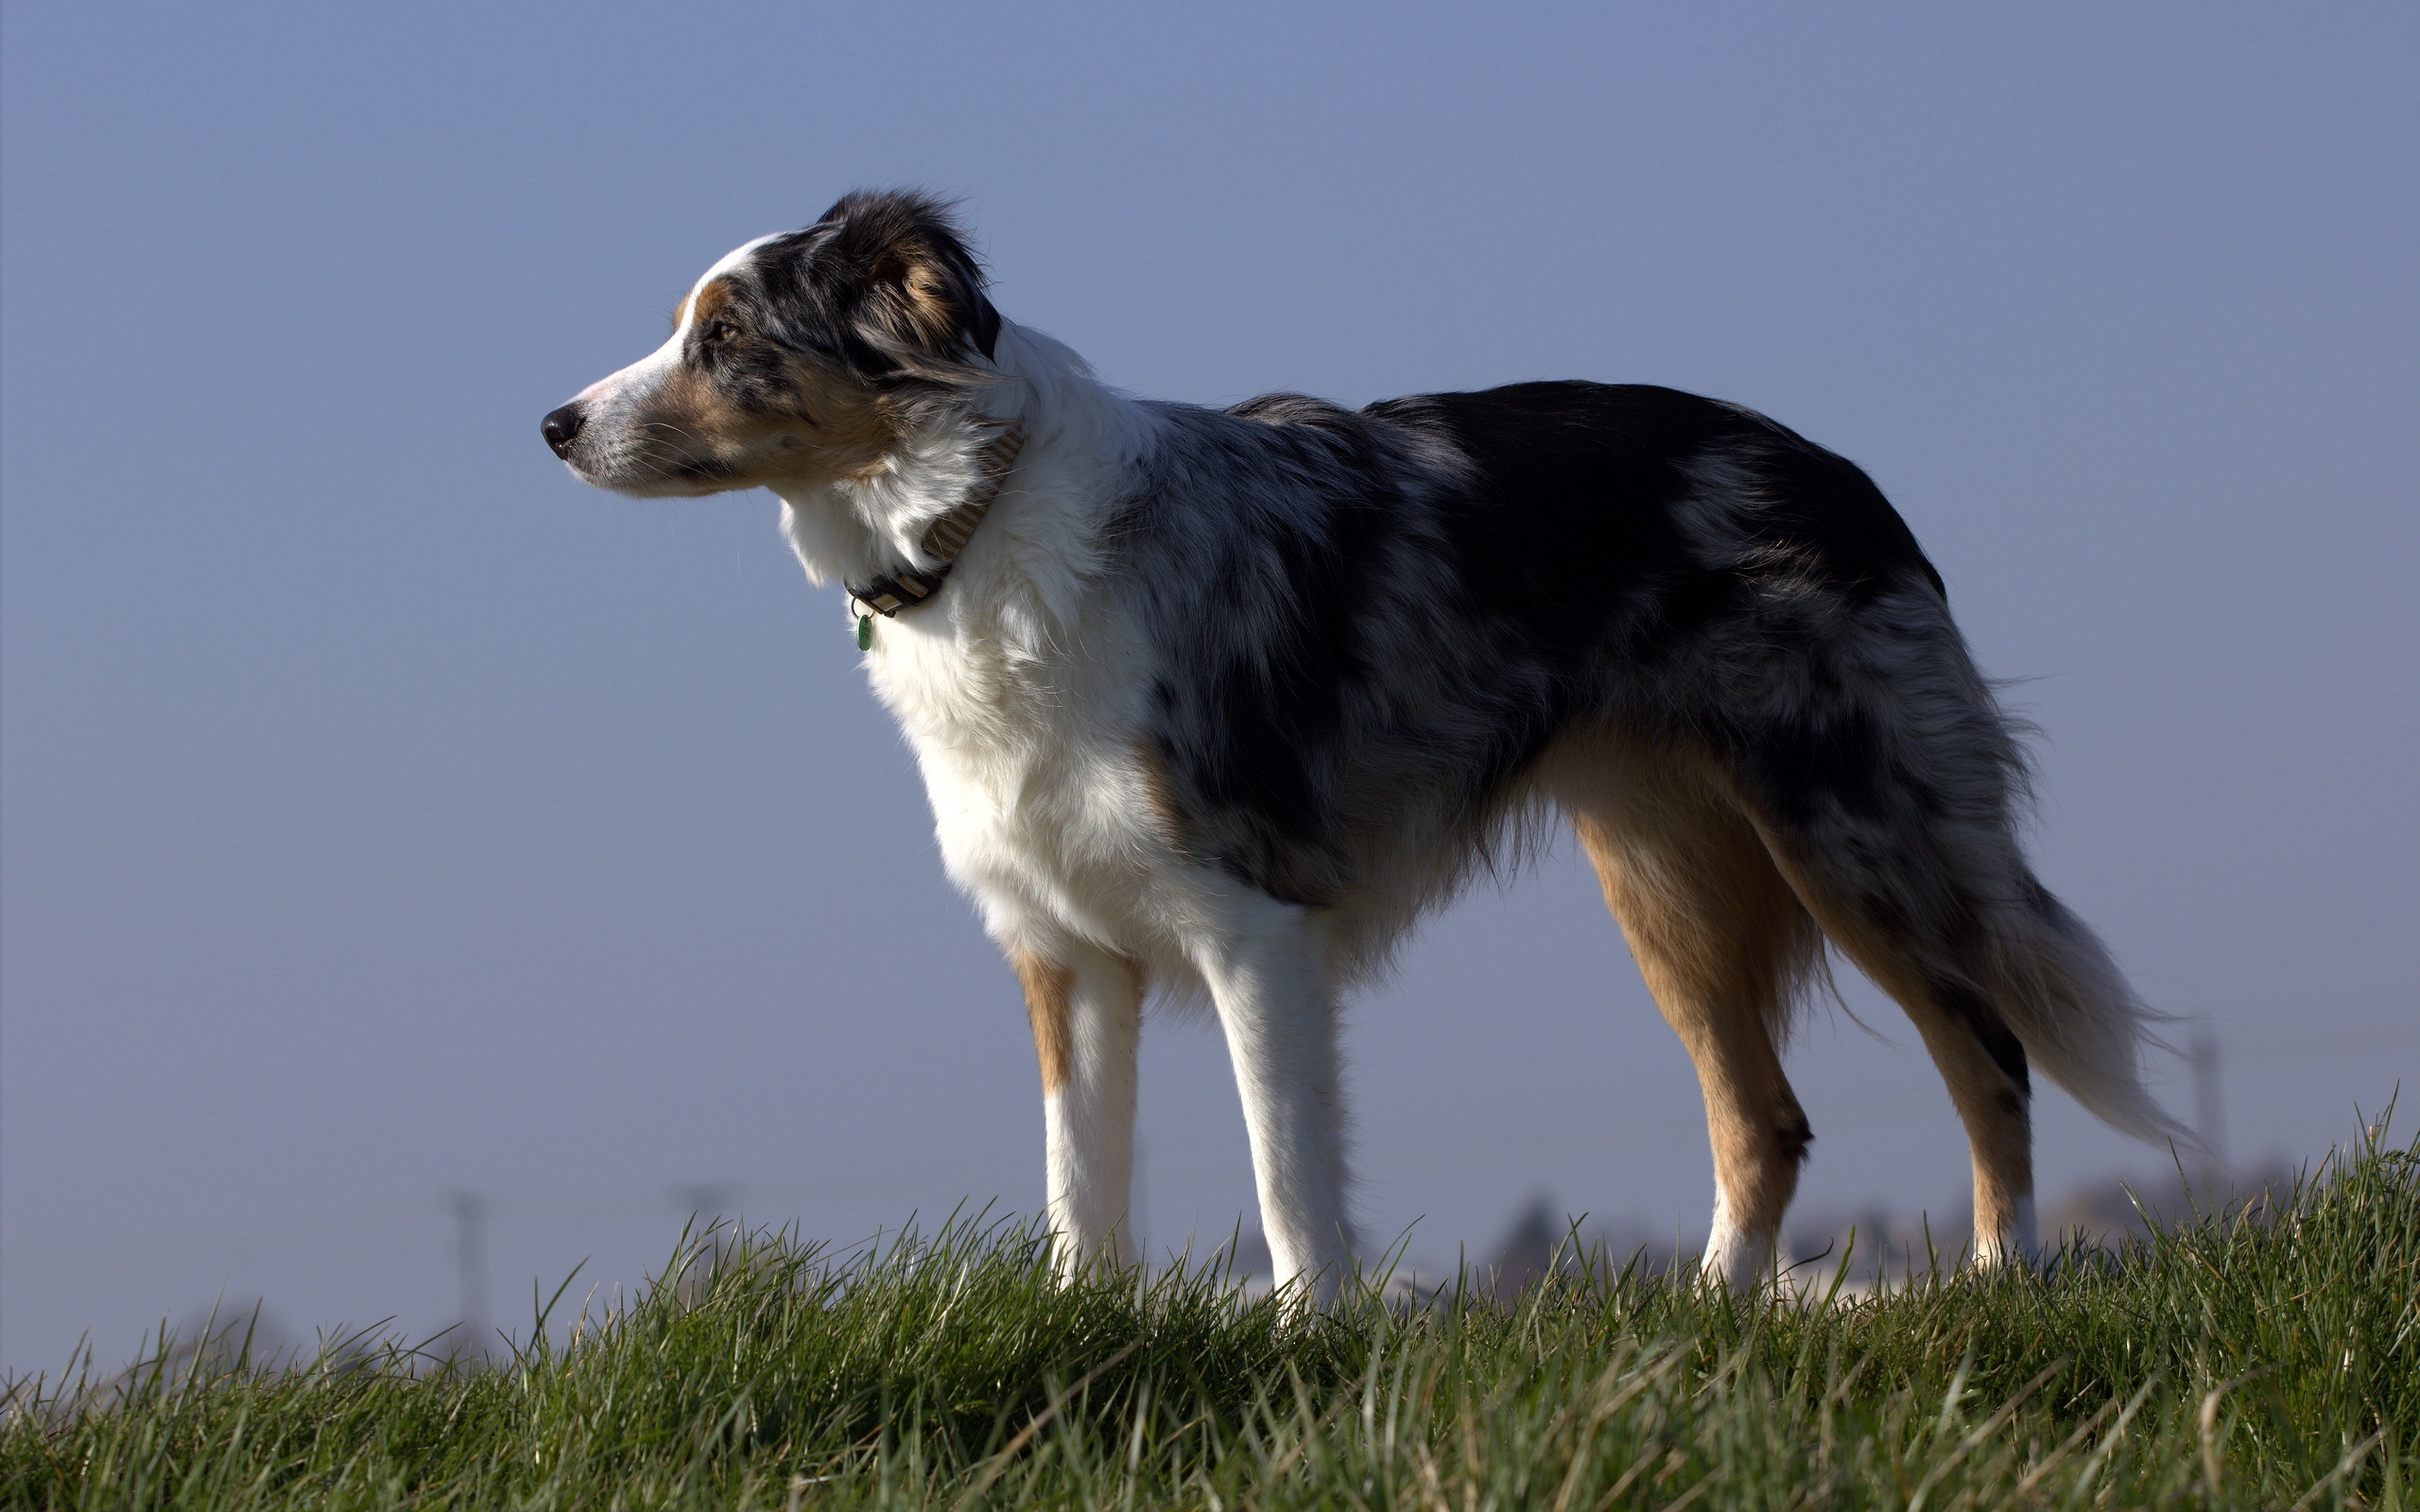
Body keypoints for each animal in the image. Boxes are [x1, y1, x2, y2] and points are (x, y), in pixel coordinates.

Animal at [554, 186, 2197, 1297]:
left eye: (725, 335)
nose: (554, 424)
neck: (972, 529)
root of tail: (1841, 474)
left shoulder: (1253, 921)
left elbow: (1287, 1172)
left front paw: (1309, 1338)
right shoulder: (1064, 952)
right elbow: (1080, 1183)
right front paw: (1090, 1325)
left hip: (1851, 827)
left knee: (1988, 1047)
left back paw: (1999, 1285)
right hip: (1664, 874)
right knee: (1766, 1116)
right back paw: (1716, 1314)